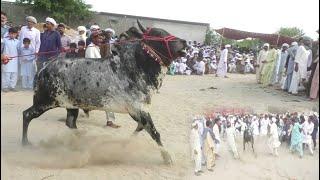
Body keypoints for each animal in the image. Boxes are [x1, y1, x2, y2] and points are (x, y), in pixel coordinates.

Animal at [21, 20, 188, 165]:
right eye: (159, 34)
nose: (185, 42)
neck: (137, 65)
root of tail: (44, 68)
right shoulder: (138, 109)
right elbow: (154, 132)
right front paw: (167, 157)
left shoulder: (140, 111)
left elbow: (141, 128)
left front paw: (126, 144)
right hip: (44, 101)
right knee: (27, 114)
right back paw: (25, 144)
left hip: (71, 105)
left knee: (70, 123)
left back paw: (80, 141)